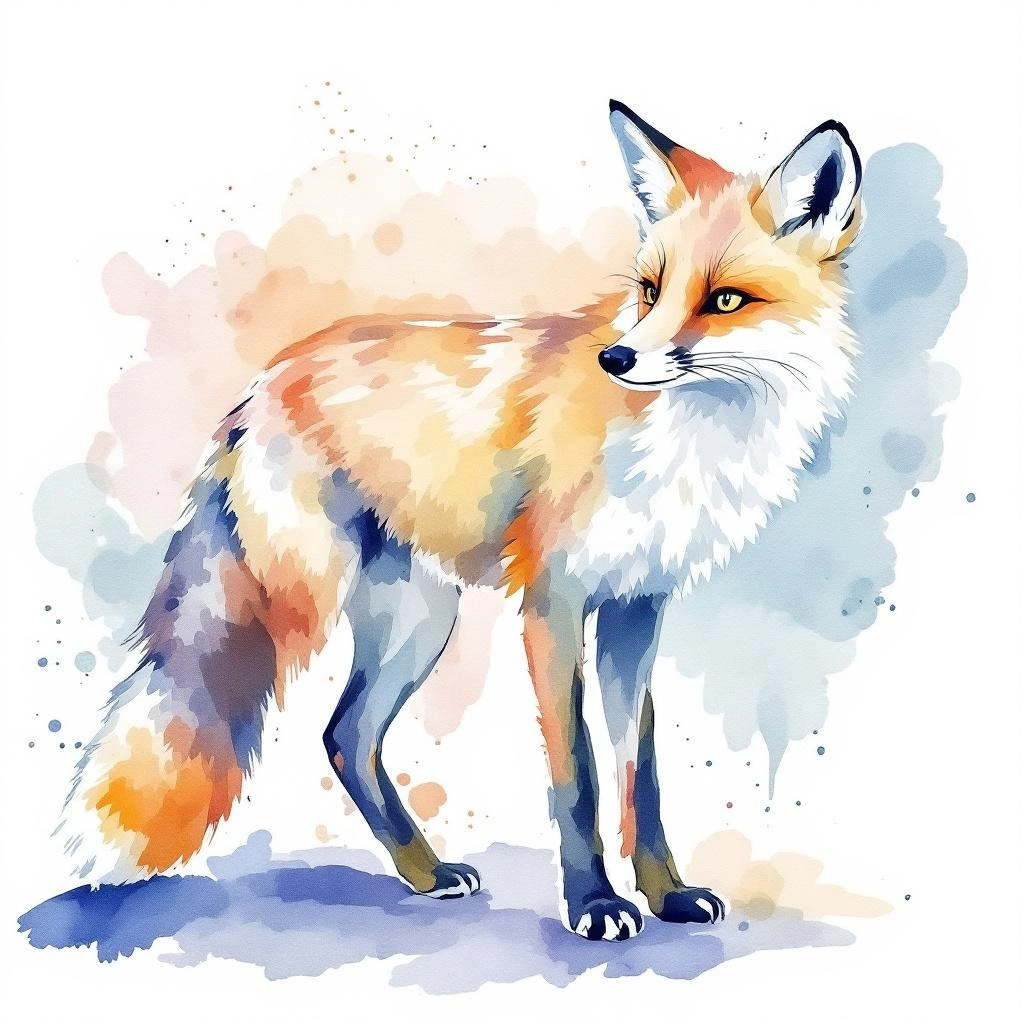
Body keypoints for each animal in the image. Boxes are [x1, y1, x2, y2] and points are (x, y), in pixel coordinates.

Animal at [57, 100, 863, 942]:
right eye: (650, 290)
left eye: (726, 300)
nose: (617, 360)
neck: (686, 447)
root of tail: (261, 384)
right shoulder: (553, 602)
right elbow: (577, 775)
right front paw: (595, 904)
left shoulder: (637, 610)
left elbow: (640, 774)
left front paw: (666, 893)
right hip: (296, 607)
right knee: (316, 720)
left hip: (421, 619)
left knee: (345, 736)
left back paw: (425, 872)